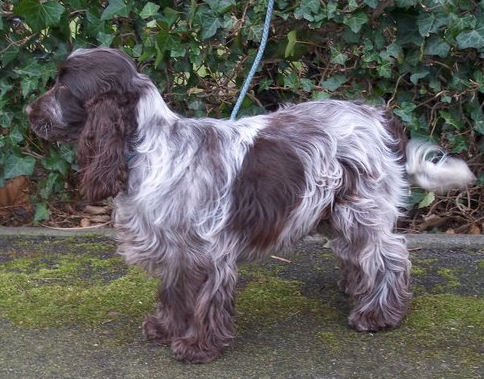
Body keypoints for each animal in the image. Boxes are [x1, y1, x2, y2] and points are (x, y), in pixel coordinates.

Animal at [24, 48, 474, 366]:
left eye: (63, 88)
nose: (28, 111)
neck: (150, 149)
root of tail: (380, 116)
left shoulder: (205, 250)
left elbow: (202, 298)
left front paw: (198, 347)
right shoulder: (175, 248)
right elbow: (174, 292)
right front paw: (167, 328)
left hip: (361, 208)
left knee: (390, 256)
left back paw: (378, 315)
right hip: (335, 211)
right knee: (359, 255)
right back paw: (356, 291)